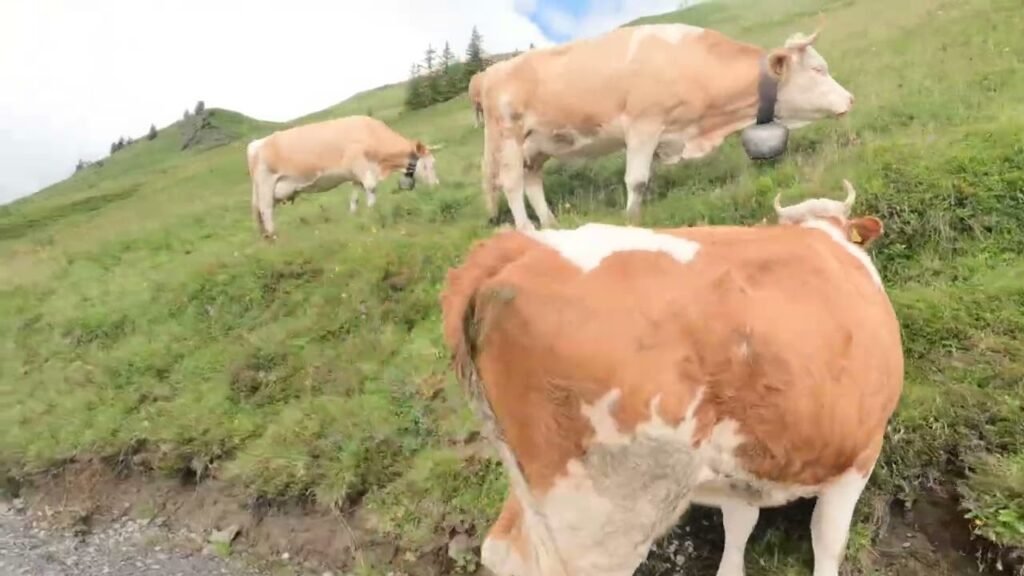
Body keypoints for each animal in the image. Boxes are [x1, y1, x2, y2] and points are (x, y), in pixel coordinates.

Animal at [247, 115, 440, 239]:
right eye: (430, 164)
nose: (436, 185)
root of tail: (256, 143)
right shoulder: (360, 165)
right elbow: (371, 188)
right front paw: (373, 213)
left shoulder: (355, 175)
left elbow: (355, 197)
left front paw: (355, 216)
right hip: (266, 184)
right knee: (266, 210)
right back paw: (274, 236)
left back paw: (266, 236)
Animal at [440, 180, 902, 576]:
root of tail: (510, 253)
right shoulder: (861, 451)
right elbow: (827, 540)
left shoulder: (743, 468)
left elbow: (740, 524)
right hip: (605, 511)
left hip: (536, 485)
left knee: (502, 549)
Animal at [478, 23, 855, 231]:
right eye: (818, 69)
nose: (850, 99)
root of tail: (488, 73)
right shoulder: (643, 124)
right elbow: (637, 180)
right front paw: (632, 220)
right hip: (508, 136)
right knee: (511, 184)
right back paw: (528, 228)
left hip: (537, 145)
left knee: (531, 180)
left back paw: (551, 223)